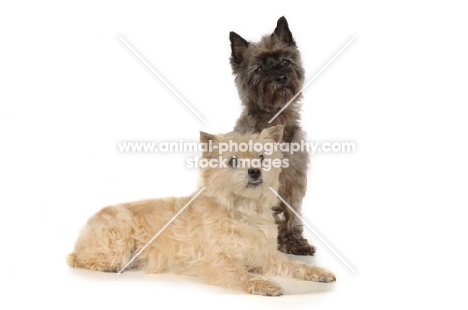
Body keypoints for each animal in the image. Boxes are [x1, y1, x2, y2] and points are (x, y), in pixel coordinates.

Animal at [67, 126, 334, 296]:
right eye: (233, 161)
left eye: (262, 157)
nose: (255, 171)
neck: (241, 211)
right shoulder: (218, 263)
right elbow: (241, 275)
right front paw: (263, 285)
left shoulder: (265, 257)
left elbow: (294, 265)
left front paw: (317, 271)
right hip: (118, 238)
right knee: (78, 258)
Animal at [229, 16, 316, 254]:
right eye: (258, 68)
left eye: (285, 61)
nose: (281, 77)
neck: (275, 119)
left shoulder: (293, 180)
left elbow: (291, 212)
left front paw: (295, 242)